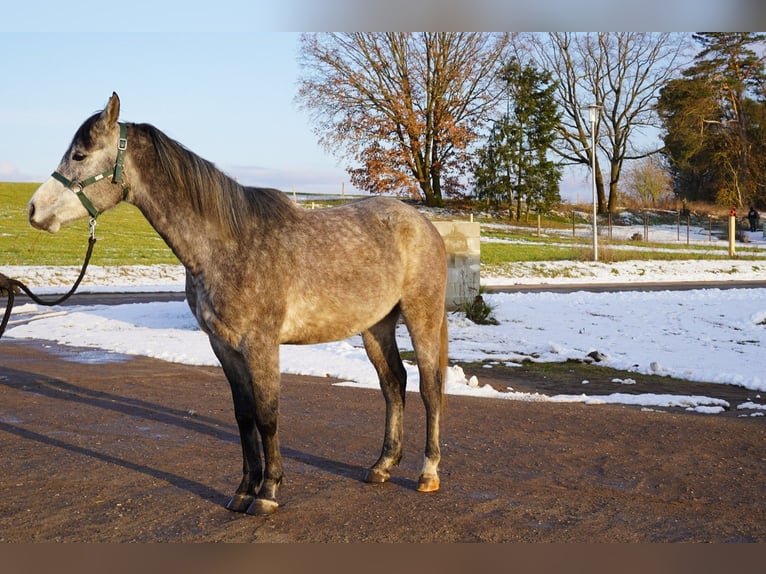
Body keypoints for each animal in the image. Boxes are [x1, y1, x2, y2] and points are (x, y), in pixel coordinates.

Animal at [27, 93, 450, 516]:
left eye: (80, 155)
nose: (33, 210)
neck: (227, 246)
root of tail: (424, 224)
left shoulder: (260, 344)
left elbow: (267, 415)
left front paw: (268, 492)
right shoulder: (224, 346)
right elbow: (244, 416)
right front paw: (245, 489)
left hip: (422, 317)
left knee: (429, 387)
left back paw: (428, 472)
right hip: (376, 326)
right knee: (394, 384)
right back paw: (382, 466)